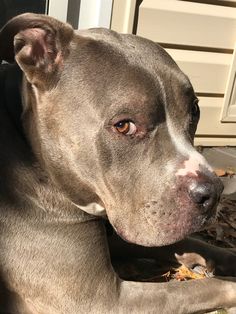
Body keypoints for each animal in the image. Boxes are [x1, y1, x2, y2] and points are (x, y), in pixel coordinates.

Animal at [0, 12, 236, 314]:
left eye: (195, 110)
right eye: (124, 125)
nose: (213, 193)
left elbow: (181, 241)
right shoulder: (100, 300)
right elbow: (195, 289)